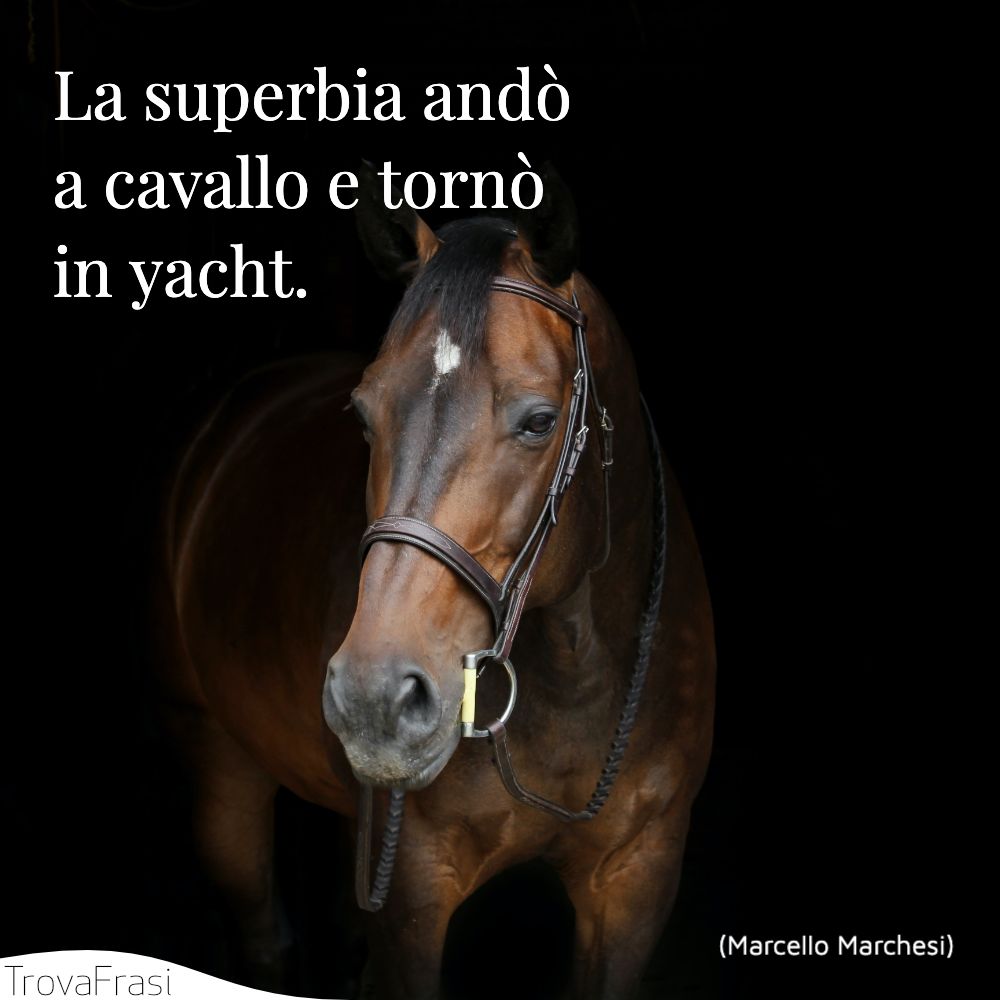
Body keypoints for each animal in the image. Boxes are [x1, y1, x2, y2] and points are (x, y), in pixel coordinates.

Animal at [152, 167, 716, 999]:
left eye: (540, 420)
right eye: (363, 415)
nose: (374, 698)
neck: (576, 677)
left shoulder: (637, 880)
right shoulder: (414, 894)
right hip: (217, 758)